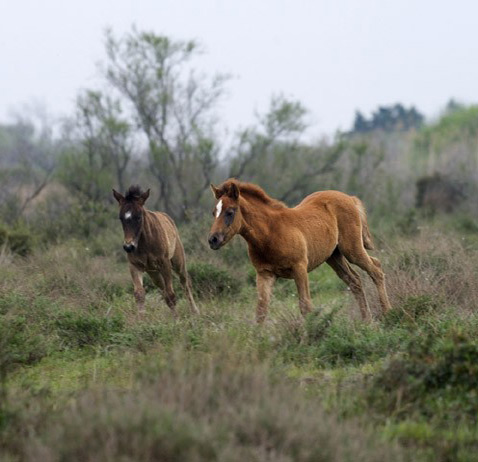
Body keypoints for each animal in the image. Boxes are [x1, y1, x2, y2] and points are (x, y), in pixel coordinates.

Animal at [113, 186, 199, 316]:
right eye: (121, 218)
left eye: (139, 217)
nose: (129, 247)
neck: (145, 244)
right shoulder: (134, 266)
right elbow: (139, 294)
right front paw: (141, 319)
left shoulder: (165, 264)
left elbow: (171, 294)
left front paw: (176, 319)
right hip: (153, 272)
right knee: (163, 288)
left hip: (178, 262)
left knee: (185, 282)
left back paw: (195, 311)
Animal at [207, 180, 390, 322]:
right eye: (214, 212)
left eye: (230, 212)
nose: (213, 240)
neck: (270, 233)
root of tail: (350, 198)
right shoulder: (265, 274)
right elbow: (261, 311)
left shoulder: (299, 268)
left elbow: (305, 306)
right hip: (334, 256)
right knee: (355, 281)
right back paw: (367, 320)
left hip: (352, 249)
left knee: (376, 269)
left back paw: (387, 312)